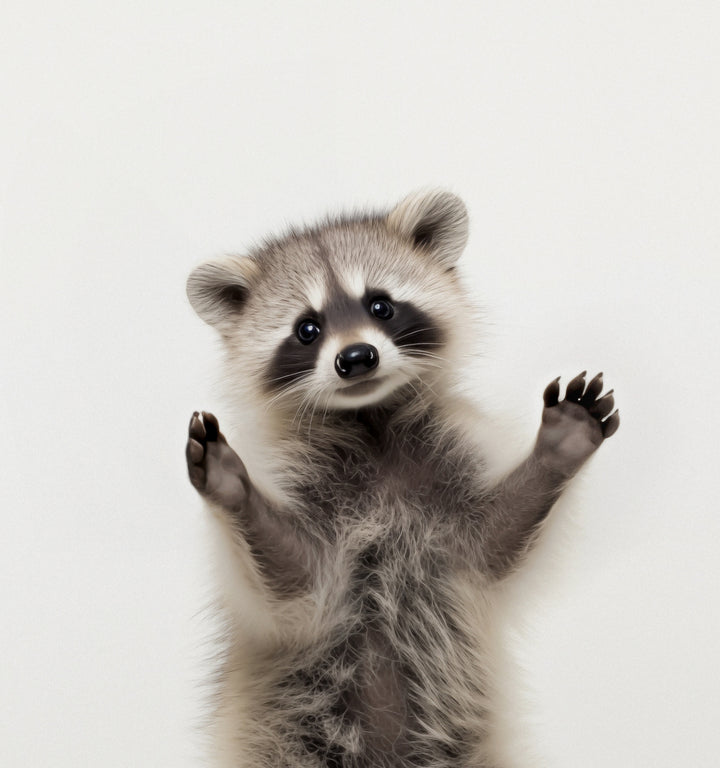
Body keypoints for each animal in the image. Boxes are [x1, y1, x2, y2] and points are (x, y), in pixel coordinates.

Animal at [185, 190, 619, 768]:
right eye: (307, 328)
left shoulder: (452, 463)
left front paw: (555, 454)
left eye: (381, 306)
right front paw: (234, 493)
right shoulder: (297, 478)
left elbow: (494, 543)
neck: (373, 422)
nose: (356, 357)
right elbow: (297, 575)